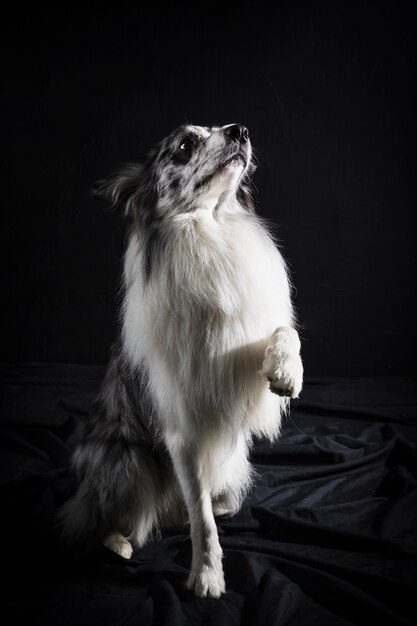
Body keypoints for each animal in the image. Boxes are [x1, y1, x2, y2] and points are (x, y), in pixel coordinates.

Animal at [61, 122, 302, 596]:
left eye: (221, 129)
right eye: (185, 145)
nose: (241, 131)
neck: (208, 231)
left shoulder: (242, 344)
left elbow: (286, 331)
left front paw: (287, 369)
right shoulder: (182, 429)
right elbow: (201, 519)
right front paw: (207, 574)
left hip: (232, 464)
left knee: (213, 502)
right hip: (125, 462)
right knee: (103, 516)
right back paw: (118, 542)